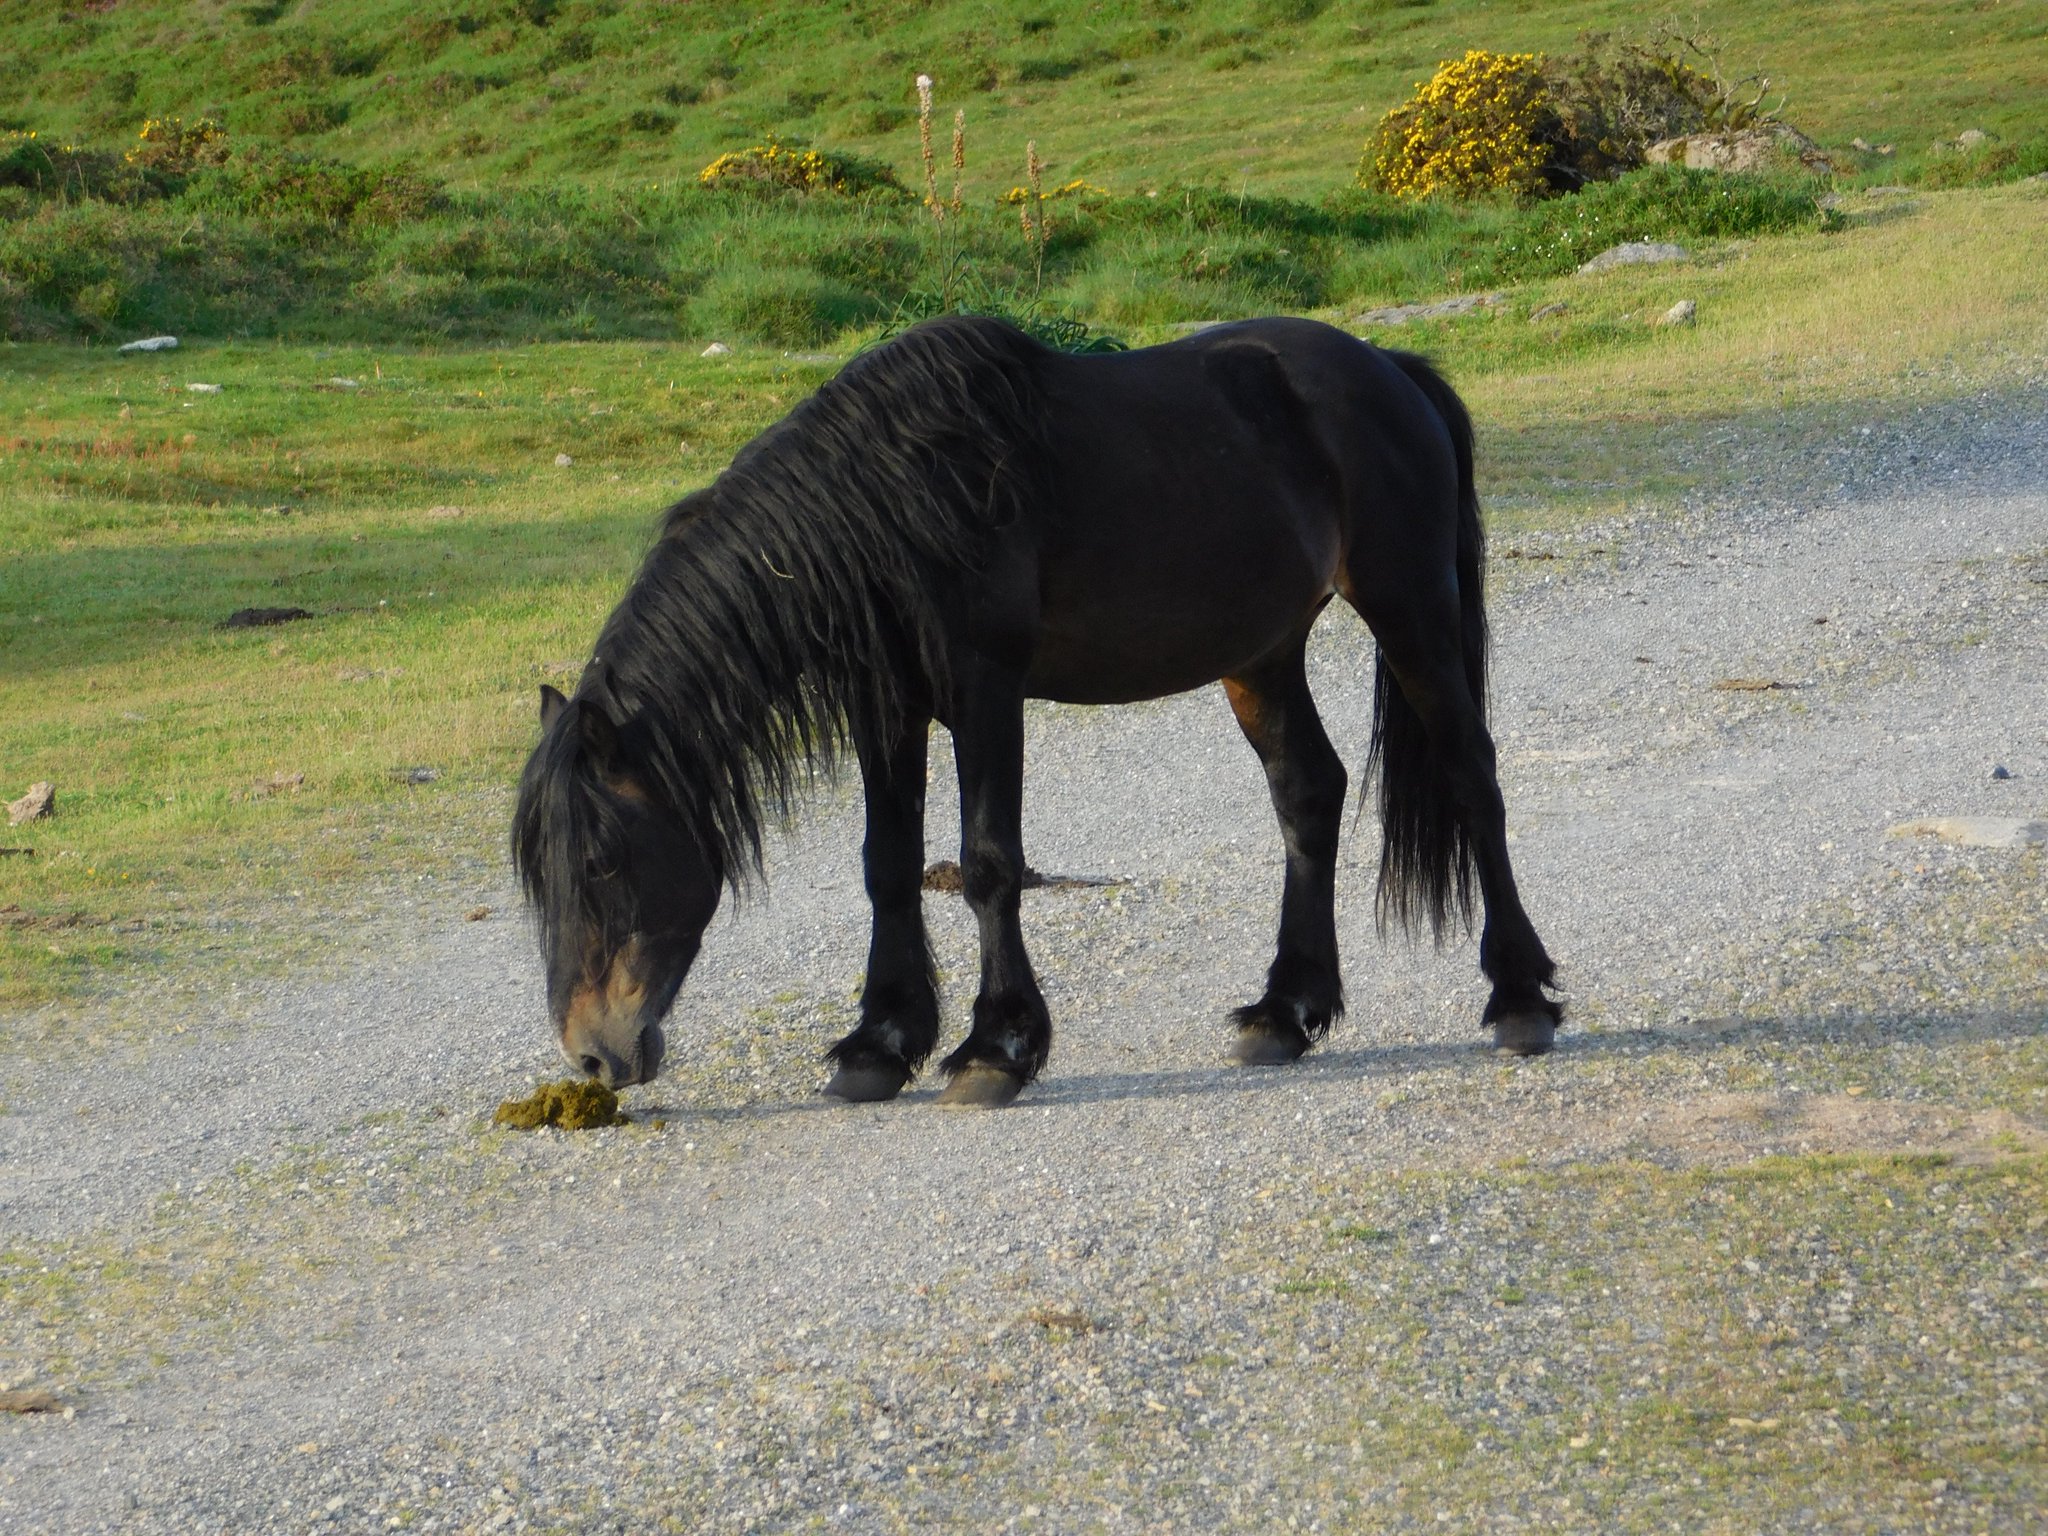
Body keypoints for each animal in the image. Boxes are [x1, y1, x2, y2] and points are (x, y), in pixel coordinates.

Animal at [512, 315, 1561, 1108]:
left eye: (602, 863)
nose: (593, 1056)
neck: (892, 507)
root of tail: (1392, 370)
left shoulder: (986, 695)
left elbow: (987, 866)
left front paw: (994, 1050)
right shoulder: (888, 712)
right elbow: (888, 869)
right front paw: (879, 1043)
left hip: (1410, 607)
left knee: (1473, 778)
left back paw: (1519, 998)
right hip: (1262, 655)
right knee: (1309, 792)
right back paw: (1284, 1013)